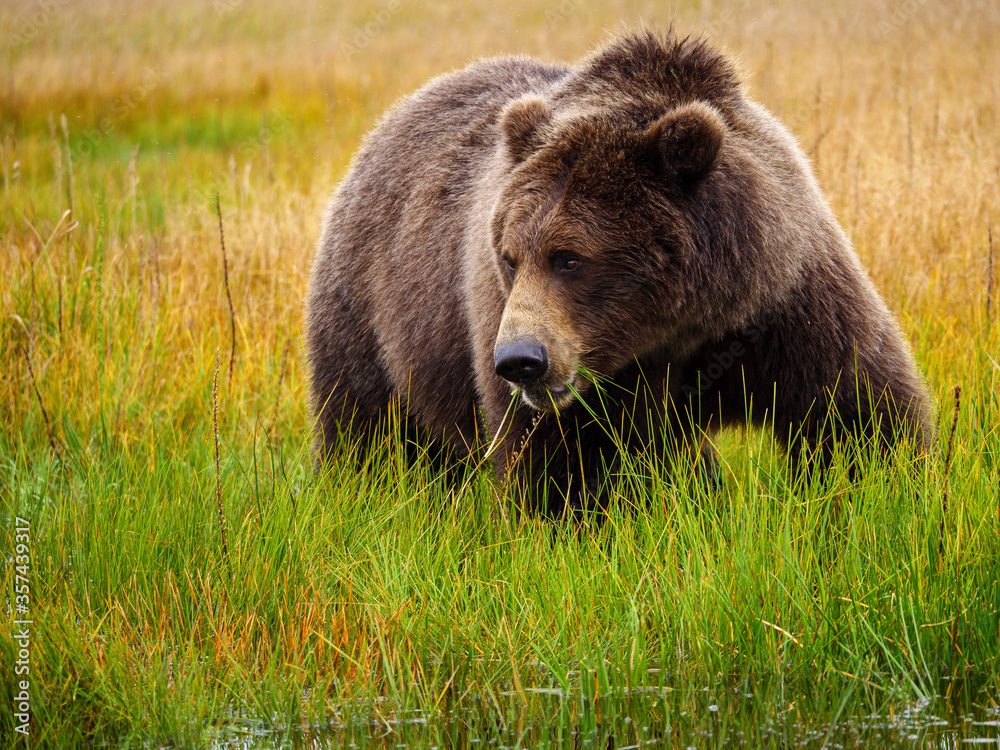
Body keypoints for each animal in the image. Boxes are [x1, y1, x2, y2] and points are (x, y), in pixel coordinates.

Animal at [308, 29, 932, 516]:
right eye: (510, 256)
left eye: (570, 257)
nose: (520, 360)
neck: (671, 330)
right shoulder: (553, 365)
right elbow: (559, 465)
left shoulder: (785, 296)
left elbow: (855, 413)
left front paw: (884, 494)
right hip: (373, 316)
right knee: (374, 434)